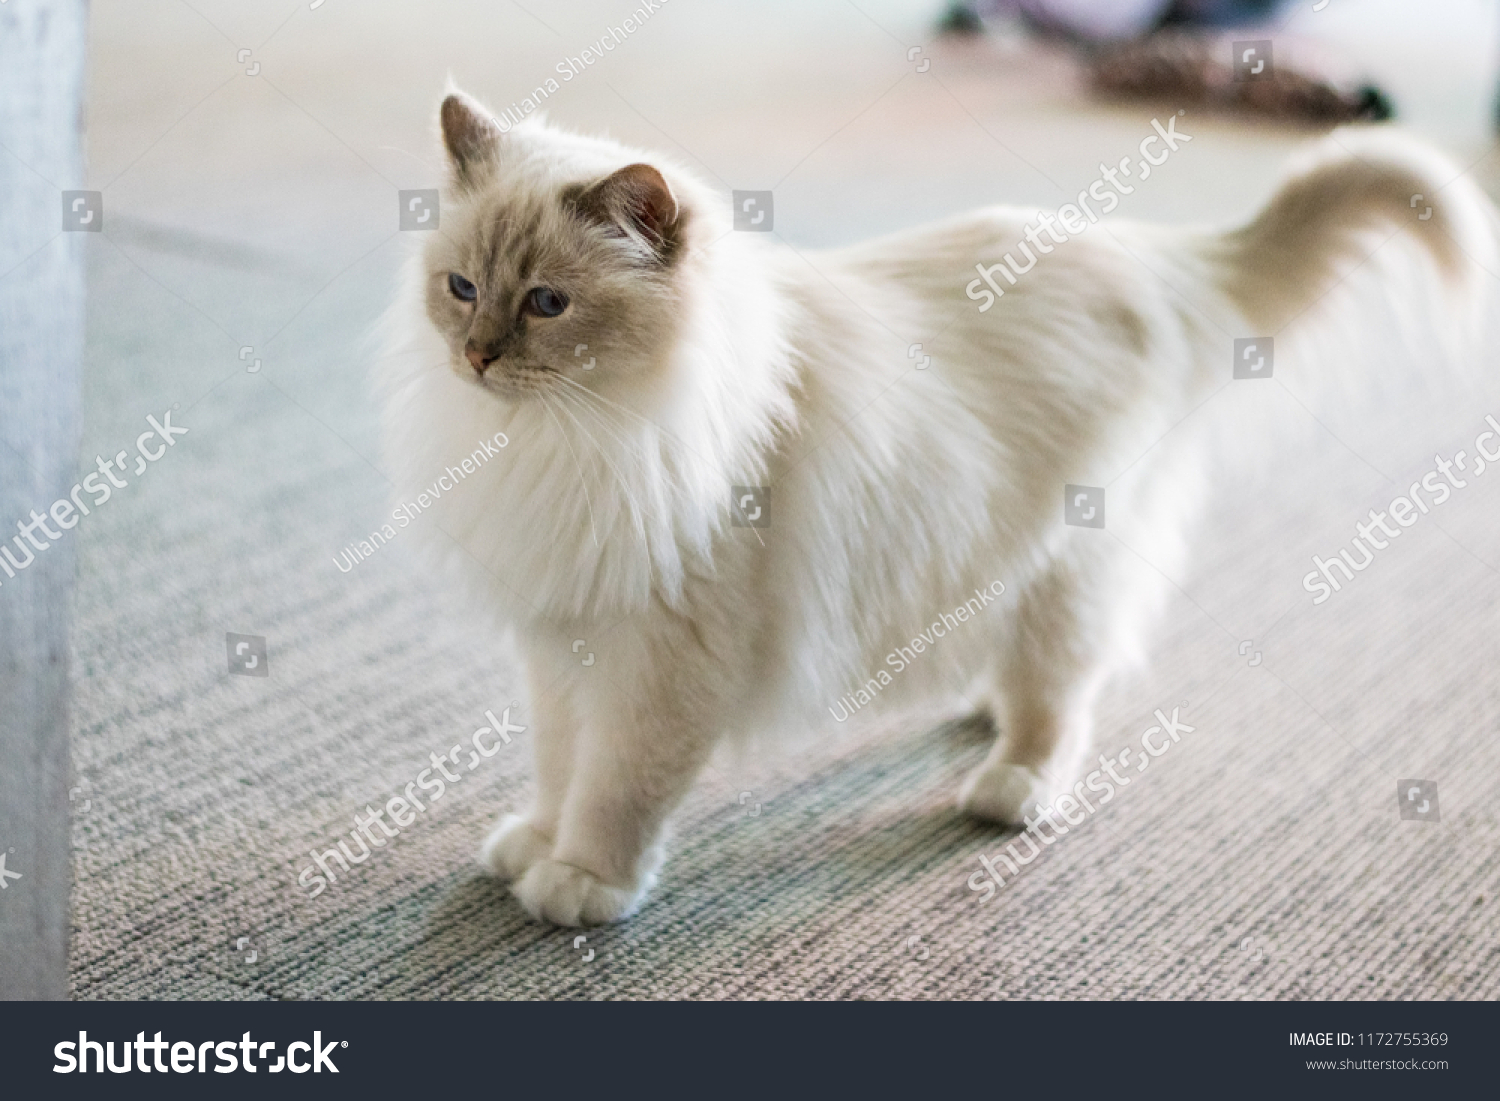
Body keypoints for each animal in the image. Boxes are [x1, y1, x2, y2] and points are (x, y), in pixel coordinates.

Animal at [381, 90, 1494, 930]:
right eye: (462, 287)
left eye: (547, 305)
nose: (475, 356)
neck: (570, 440)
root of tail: (1158, 254)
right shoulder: (564, 639)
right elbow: (558, 765)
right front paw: (531, 845)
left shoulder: (660, 659)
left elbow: (614, 790)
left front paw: (576, 883)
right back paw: (981, 707)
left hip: (1071, 561)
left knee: (1065, 694)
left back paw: (1011, 783)